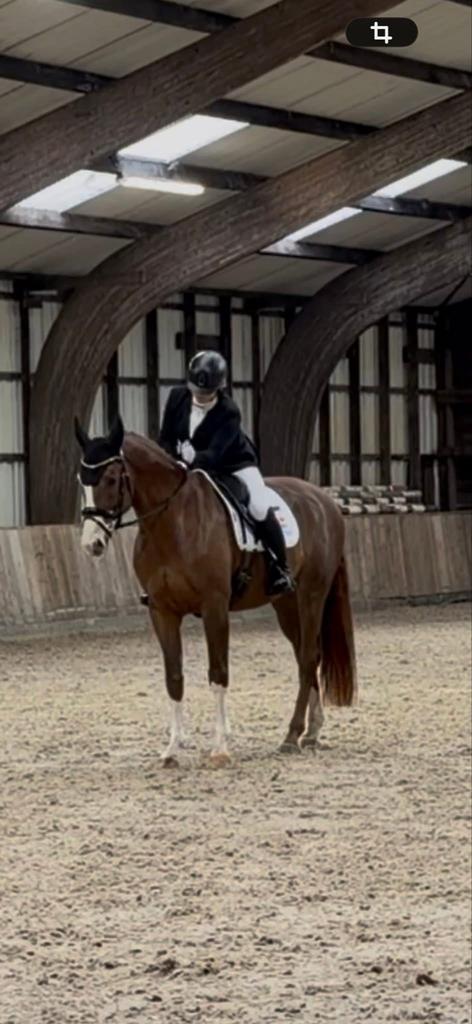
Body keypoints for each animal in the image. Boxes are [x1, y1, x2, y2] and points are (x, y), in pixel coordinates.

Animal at [75, 415, 356, 767]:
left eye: (111, 479)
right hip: (286, 603)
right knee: (308, 655)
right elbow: (174, 677)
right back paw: (312, 731)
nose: (92, 544)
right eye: (81, 480)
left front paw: (221, 747)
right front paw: (172, 749)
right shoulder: (162, 611)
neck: (172, 523)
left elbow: (218, 672)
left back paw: (291, 736)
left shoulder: (214, 607)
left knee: (307, 656)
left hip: (311, 595)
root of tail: (325, 500)